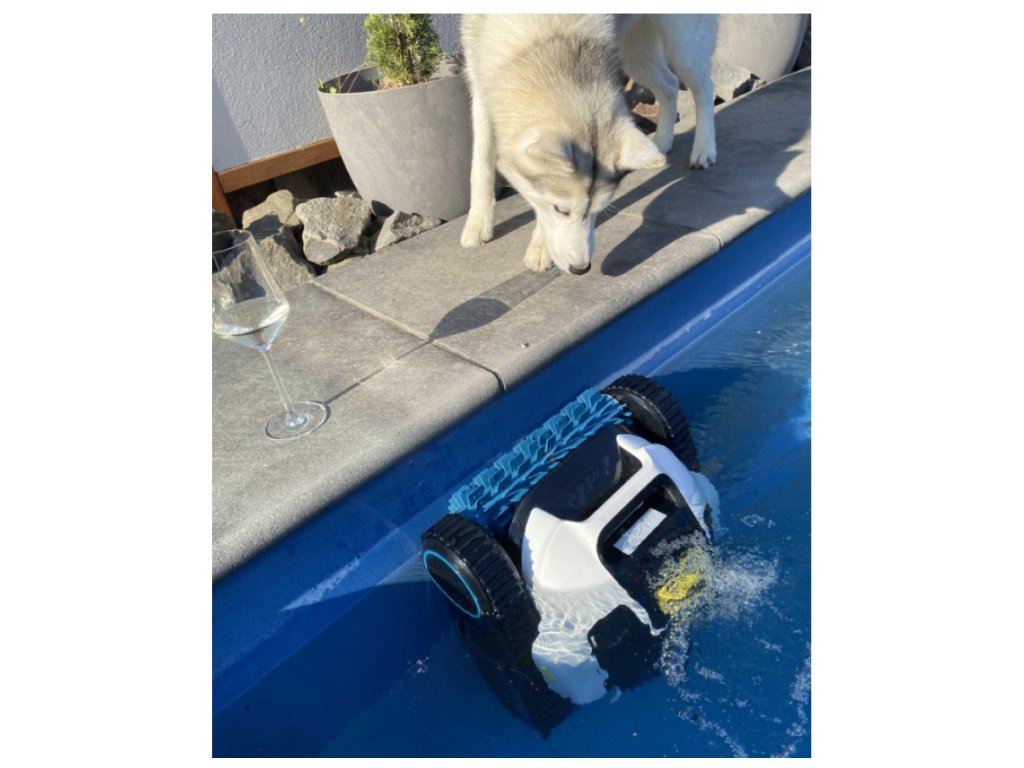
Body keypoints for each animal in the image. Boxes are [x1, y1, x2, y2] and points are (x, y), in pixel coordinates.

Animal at [459, 14, 719, 275]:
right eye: (561, 210)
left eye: (597, 211)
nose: (581, 269)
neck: (552, 38)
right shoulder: (482, 86)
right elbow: (480, 163)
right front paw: (478, 223)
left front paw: (541, 248)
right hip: (635, 57)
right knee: (670, 85)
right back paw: (663, 141)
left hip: (682, 49)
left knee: (704, 88)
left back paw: (704, 149)